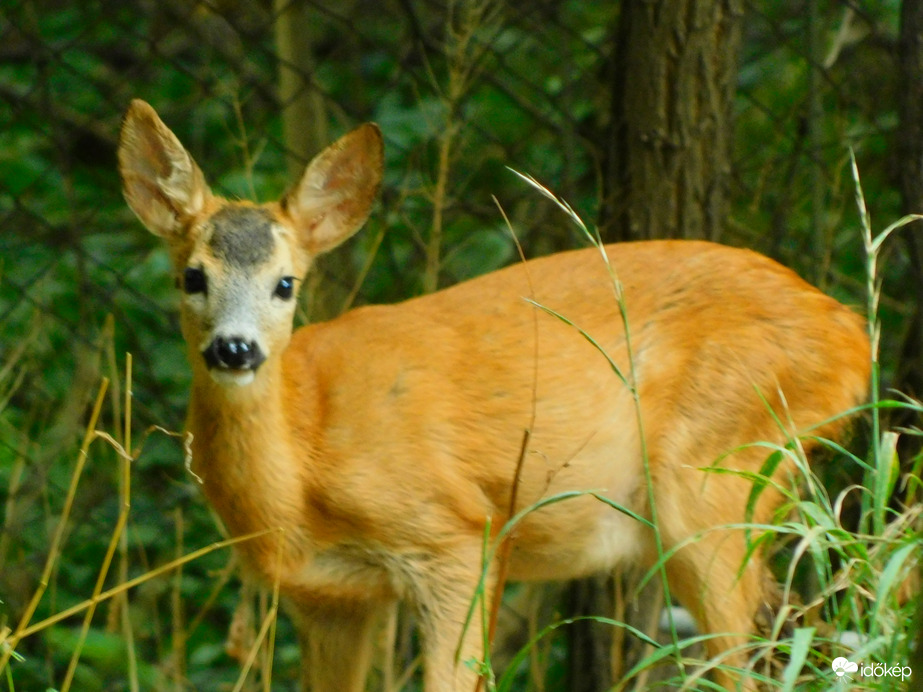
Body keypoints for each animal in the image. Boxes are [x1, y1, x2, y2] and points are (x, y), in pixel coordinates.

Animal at [119, 98, 868, 692]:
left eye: (285, 283)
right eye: (192, 277)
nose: (235, 349)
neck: (303, 464)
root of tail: (850, 332)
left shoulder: (457, 535)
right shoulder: (329, 598)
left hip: (711, 471)